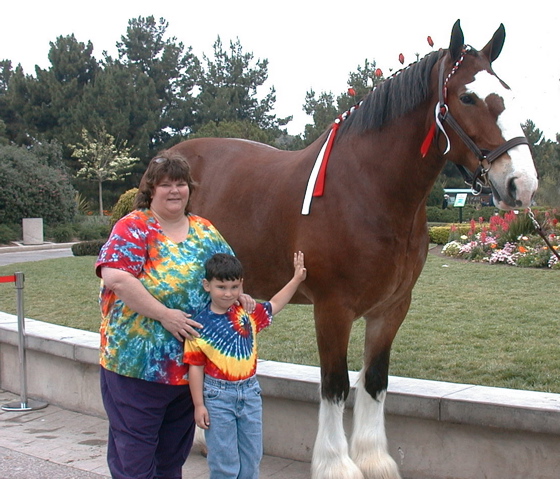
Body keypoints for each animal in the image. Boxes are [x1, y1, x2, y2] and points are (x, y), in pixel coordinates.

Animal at [172, 19, 540, 479]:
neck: (368, 189)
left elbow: (374, 380)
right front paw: (337, 464)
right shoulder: (332, 308)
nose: (522, 185)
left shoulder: (391, 307)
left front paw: (373, 459)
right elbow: (334, 385)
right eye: (468, 97)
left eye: (507, 92)